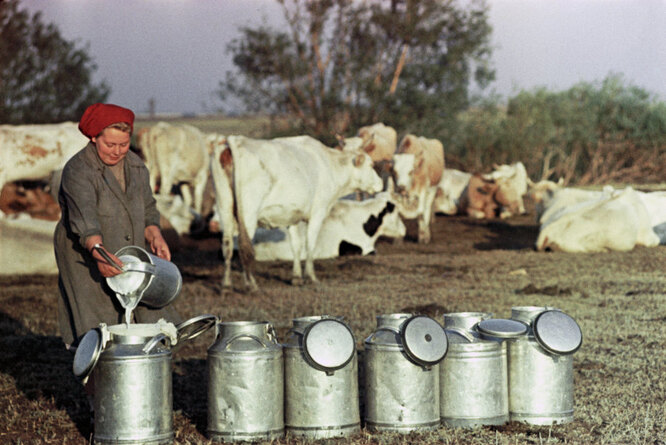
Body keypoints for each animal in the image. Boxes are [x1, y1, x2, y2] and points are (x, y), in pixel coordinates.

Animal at [210, 134, 382, 290]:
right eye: (371, 164)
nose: (380, 183)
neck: (330, 165)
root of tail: (236, 140)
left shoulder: (291, 216)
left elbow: (296, 245)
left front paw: (297, 277)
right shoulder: (318, 212)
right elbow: (310, 244)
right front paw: (311, 277)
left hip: (224, 206)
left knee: (227, 245)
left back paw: (226, 285)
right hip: (248, 212)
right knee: (244, 246)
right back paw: (251, 284)